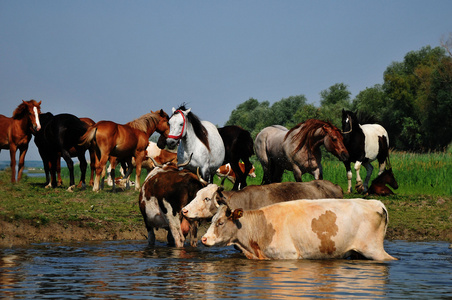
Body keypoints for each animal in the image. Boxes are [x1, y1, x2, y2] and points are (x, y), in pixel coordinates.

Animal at [201, 199, 396, 260]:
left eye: (220, 223)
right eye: (211, 220)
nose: (203, 239)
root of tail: (375, 203)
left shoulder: (288, 255)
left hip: (374, 249)